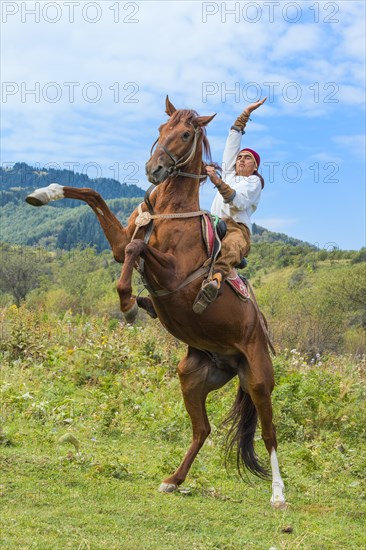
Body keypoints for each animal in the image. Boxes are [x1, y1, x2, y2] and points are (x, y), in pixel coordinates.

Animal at [27, 97, 288, 512]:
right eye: (161, 129)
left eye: (185, 134)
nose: (154, 170)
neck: (168, 209)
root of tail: (237, 357)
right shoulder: (121, 242)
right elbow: (95, 198)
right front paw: (44, 192)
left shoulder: (173, 277)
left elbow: (138, 246)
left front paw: (128, 302)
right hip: (193, 376)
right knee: (202, 430)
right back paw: (173, 480)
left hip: (259, 378)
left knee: (269, 432)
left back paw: (278, 494)